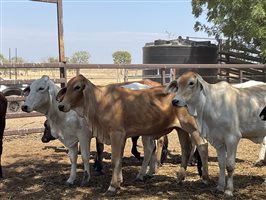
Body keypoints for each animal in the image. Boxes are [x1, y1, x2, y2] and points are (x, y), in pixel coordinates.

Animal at [57, 75, 209, 195]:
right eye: (67, 87)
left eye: (77, 87)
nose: (61, 106)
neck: (101, 101)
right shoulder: (122, 136)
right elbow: (119, 160)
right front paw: (119, 183)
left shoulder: (116, 134)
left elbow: (115, 160)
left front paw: (112, 187)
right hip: (181, 129)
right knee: (186, 149)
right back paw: (179, 178)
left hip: (193, 128)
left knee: (202, 146)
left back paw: (205, 179)